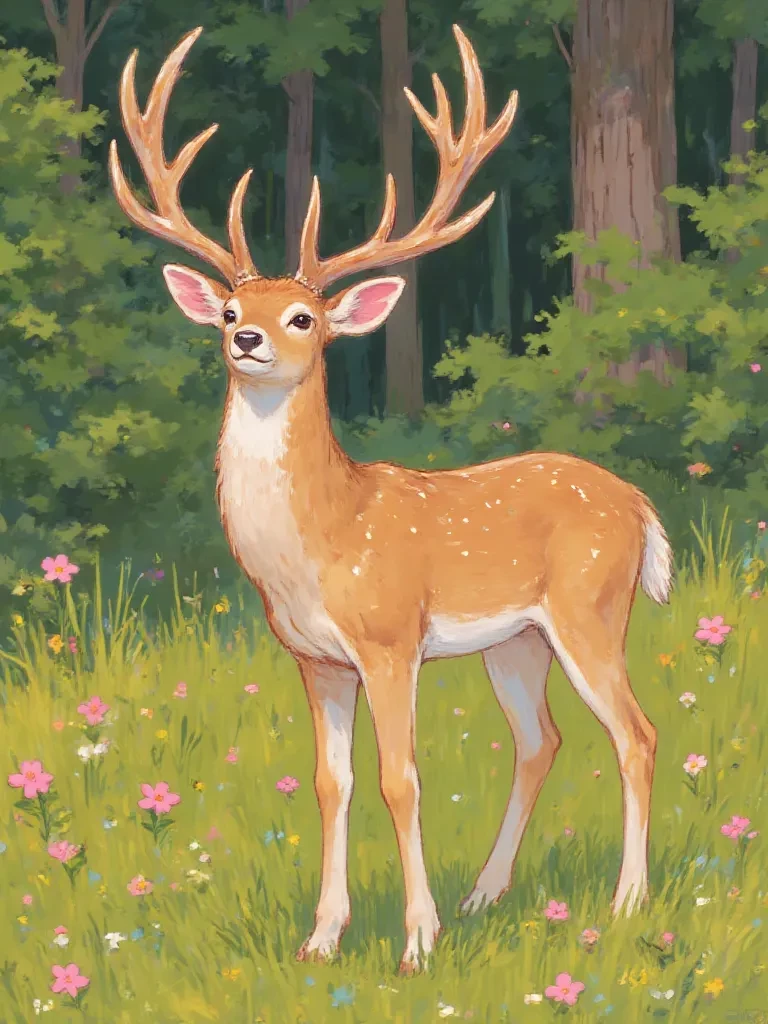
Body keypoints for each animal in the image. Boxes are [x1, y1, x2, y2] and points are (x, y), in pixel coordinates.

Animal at [109, 25, 672, 973]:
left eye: (304, 317)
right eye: (227, 309)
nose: (249, 338)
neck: (324, 542)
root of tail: (638, 503)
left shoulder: (388, 640)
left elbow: (400, 778)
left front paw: (415, 941)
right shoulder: (315, 659)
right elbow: (331, 784)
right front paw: (322, 939)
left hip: (592, 605)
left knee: (634, 734)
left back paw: (625, 902)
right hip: (515, 641)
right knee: (542, 739)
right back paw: (487, 894)